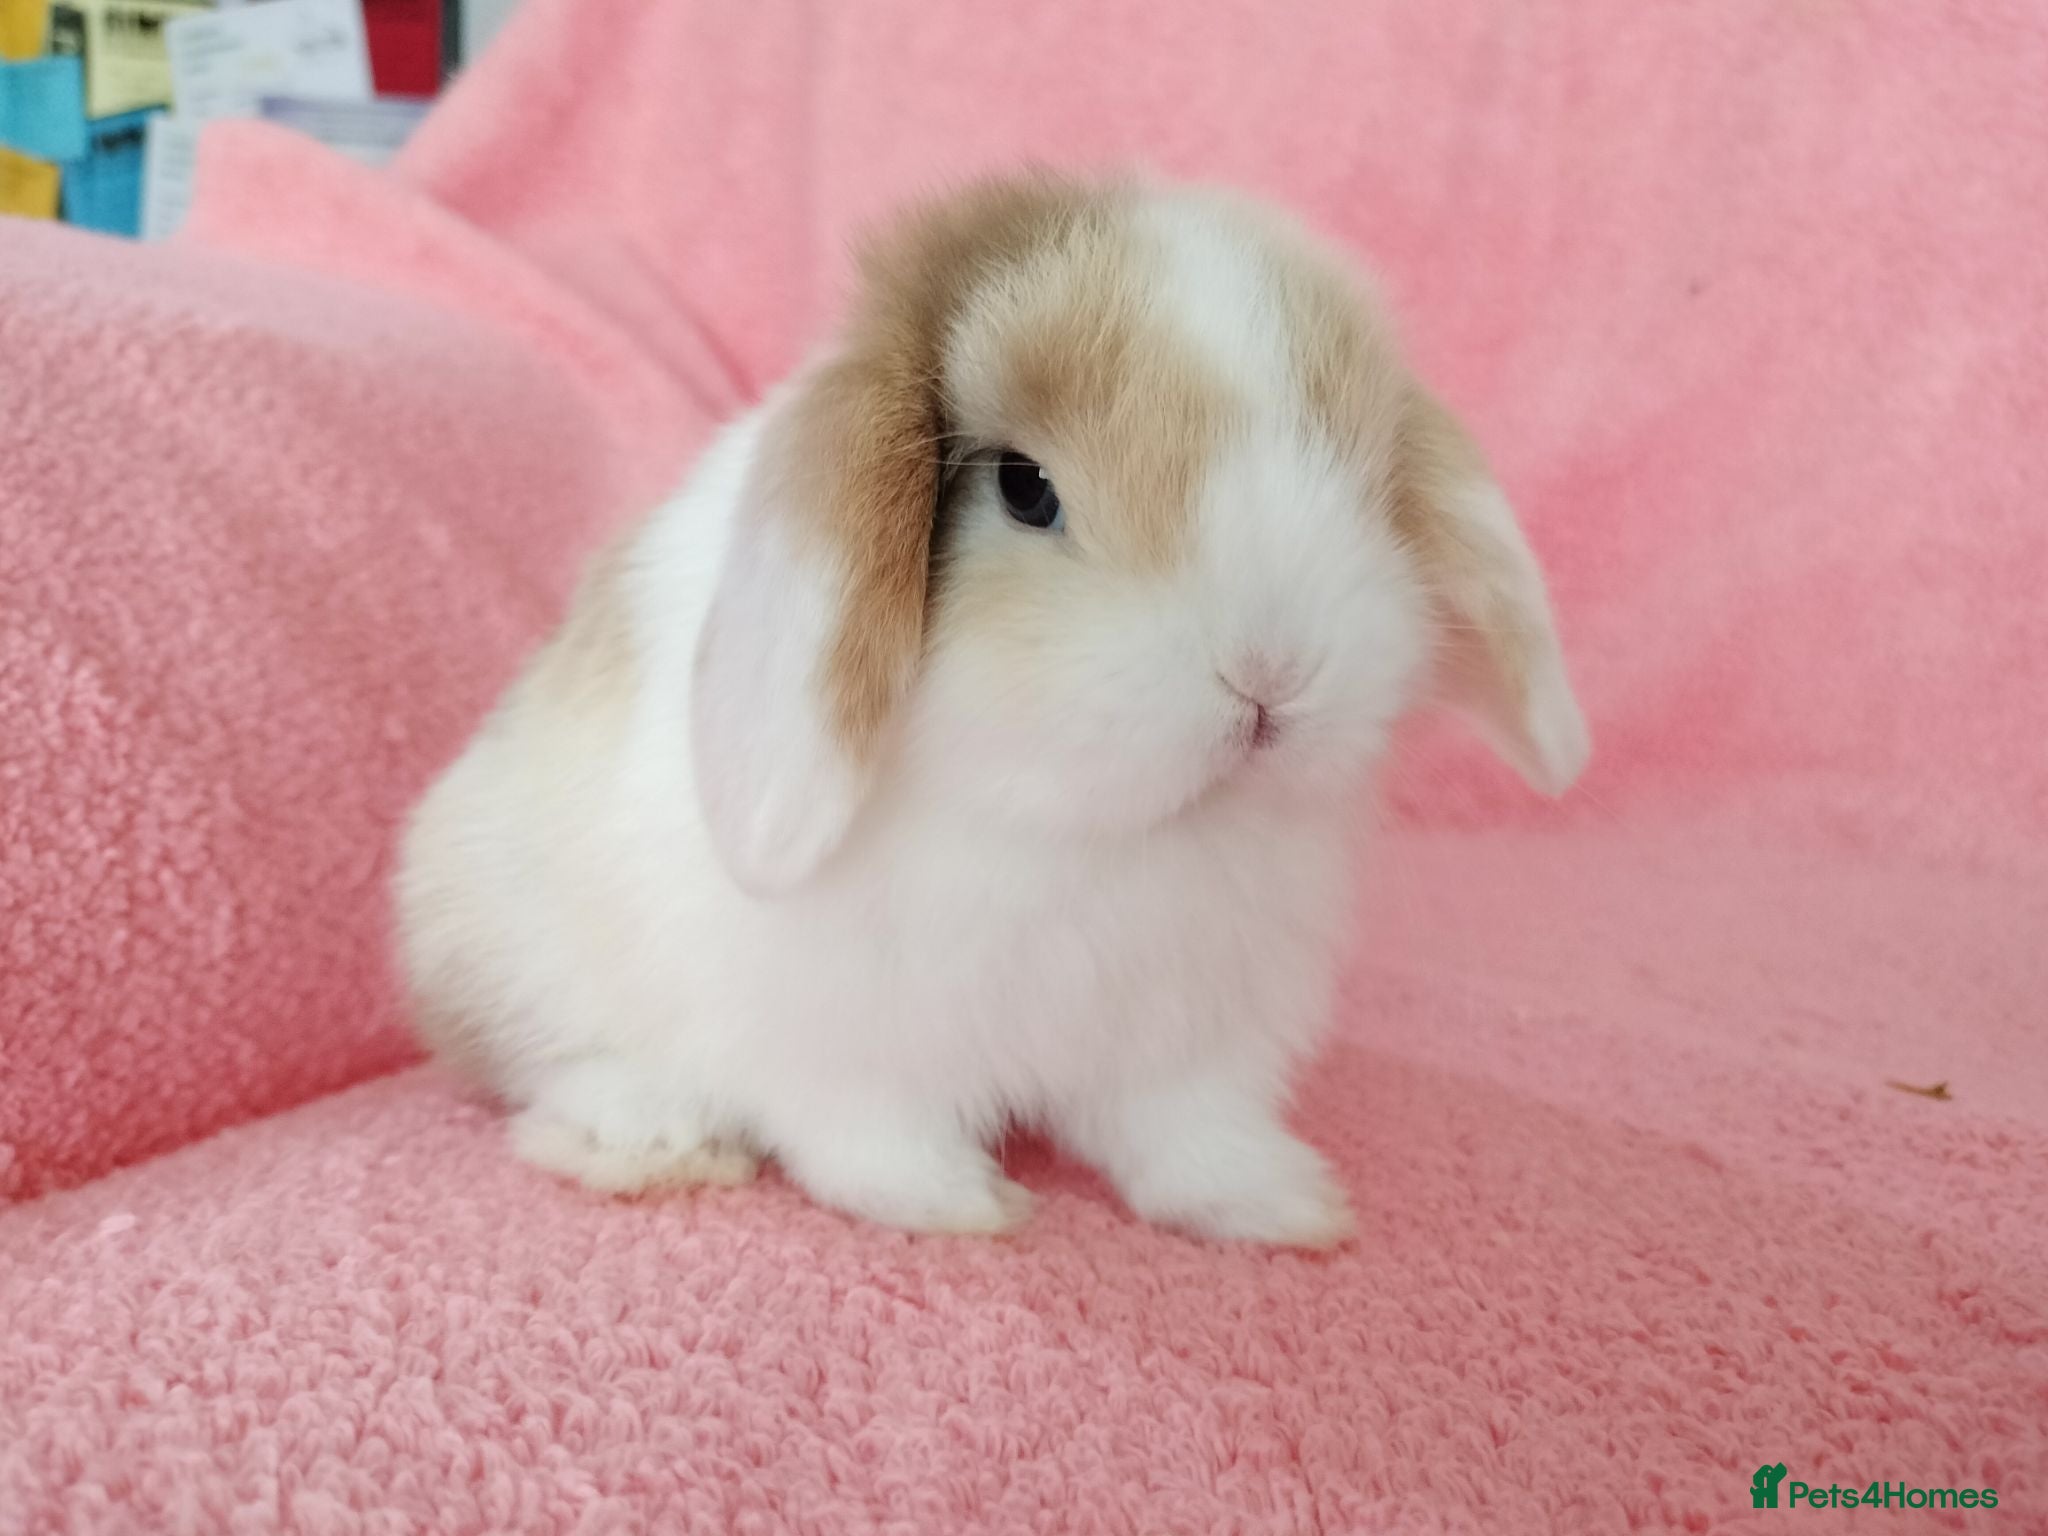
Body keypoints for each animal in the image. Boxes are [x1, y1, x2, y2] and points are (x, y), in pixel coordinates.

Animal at [394, 171, 1589, 1247]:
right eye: (1023, 488)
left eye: (1359, 473)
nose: (1271, 674)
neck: (1091, 835)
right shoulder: (846, 1043)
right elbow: (866, 1139)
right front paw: (960, 1207)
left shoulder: (1186, 1043)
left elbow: (1186, 1136)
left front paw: (1283, 1210)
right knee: (555, 1070)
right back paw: (653, 1144)